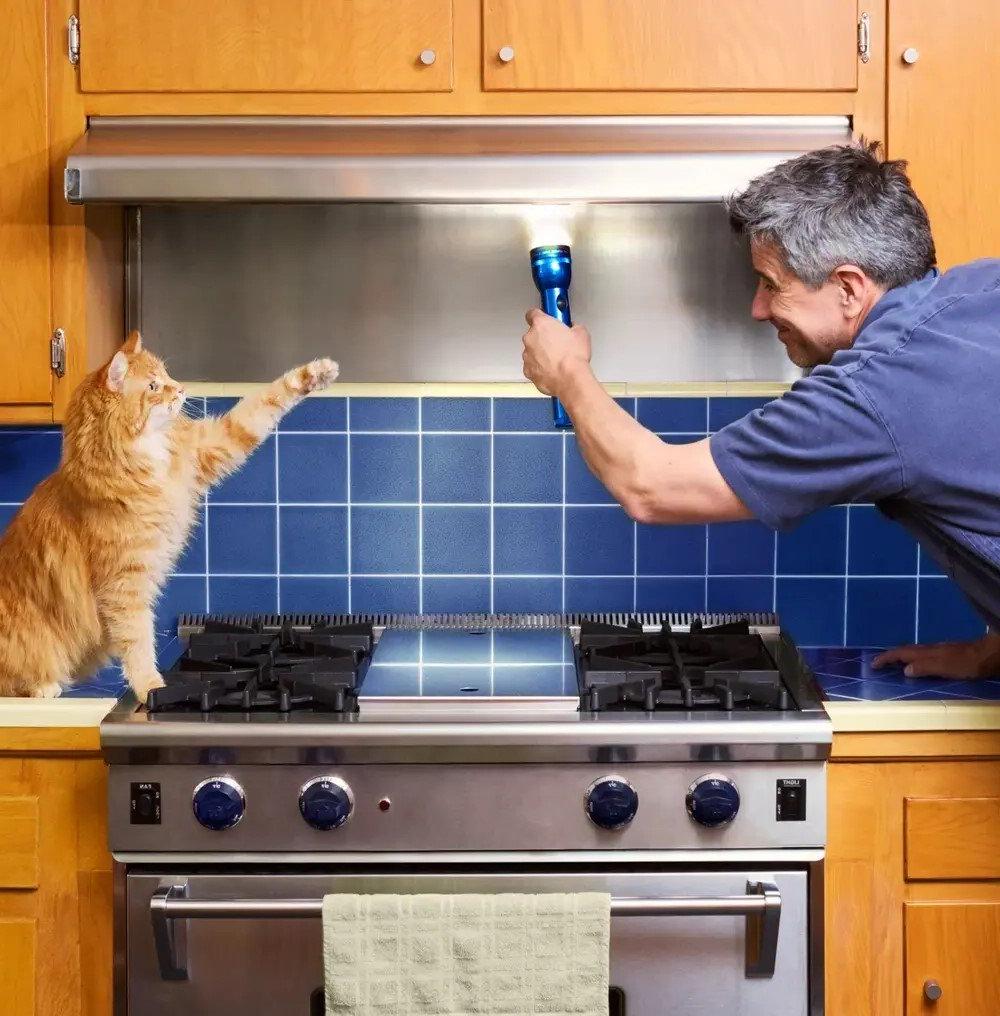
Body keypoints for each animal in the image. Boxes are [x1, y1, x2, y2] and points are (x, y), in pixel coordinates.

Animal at [0, 333, 337, 699]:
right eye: (153, 386)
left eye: (166, 375)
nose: (181, 389)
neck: (144, 457)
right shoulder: (124, 585)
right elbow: (138, 642)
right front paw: (151, 688)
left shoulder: (208, 447)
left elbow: (265, 402)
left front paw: (316, 373)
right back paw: (45, 687)